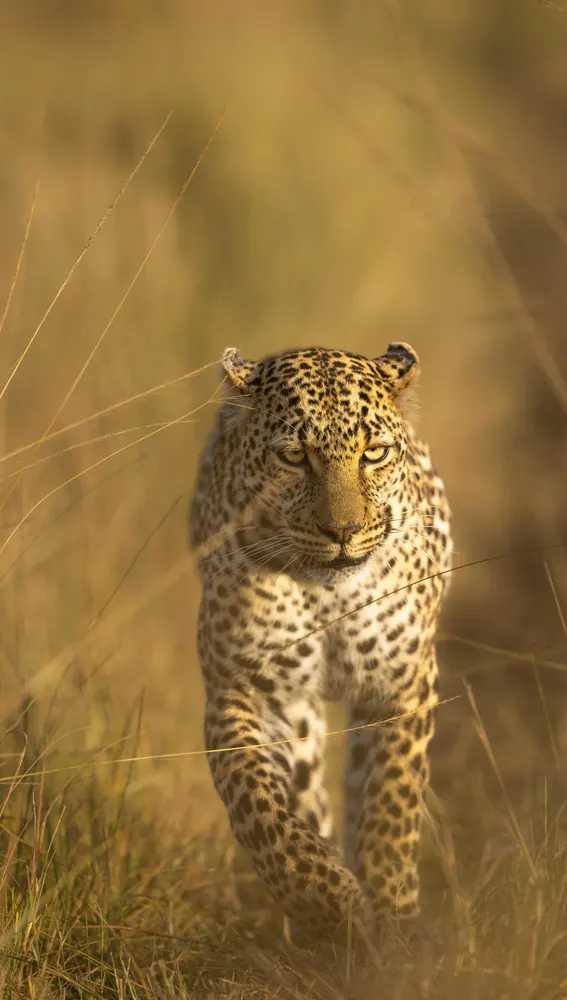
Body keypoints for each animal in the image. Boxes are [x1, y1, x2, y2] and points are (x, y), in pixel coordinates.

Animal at [189, 342, 452, 944]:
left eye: (374, 453)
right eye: (293, 457)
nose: (343, 532)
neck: (331, 595)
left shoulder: (401, 685)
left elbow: (392, 800)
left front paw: (393, 911)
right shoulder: (242, 691)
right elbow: (258, 806)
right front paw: (326, 902)